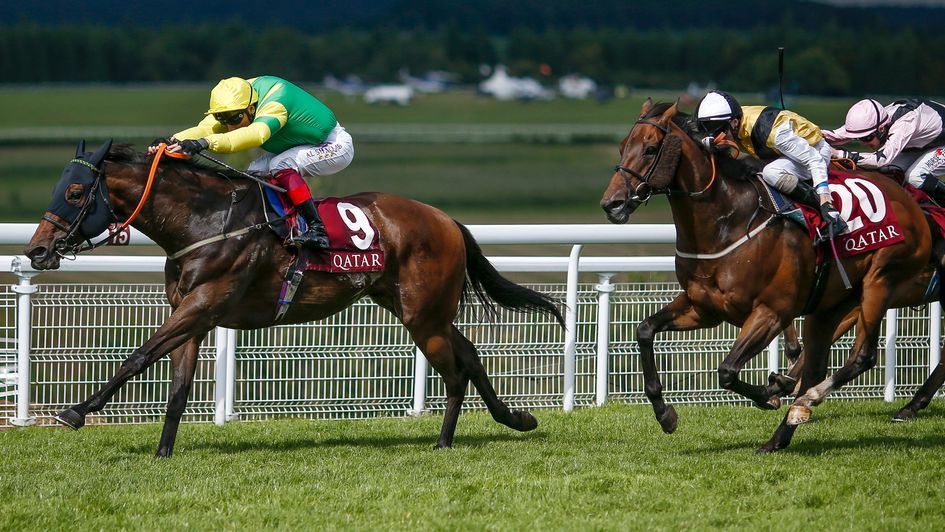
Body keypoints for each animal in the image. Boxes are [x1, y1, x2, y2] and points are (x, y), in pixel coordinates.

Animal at [25, 140, 565, 457]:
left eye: (75, 193)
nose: (36, 251)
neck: (203, 220)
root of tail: (447, 219)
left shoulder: (203, 304)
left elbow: (137, 357)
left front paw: (76, 411)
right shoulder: (191, 313)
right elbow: (177, 388)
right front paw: (163, 454)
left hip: (422, 315)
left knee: (454, 373)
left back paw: (444, 441)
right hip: (413, 308)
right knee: (469, 355)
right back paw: (516, 418)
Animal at [599, 100, 937, 452]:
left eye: (650, 149)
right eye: (622, 147)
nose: (612, 204)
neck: (727, 223)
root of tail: (910, 202)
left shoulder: (771, 312)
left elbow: (727, 371)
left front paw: (769, 393)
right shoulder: (703, 308)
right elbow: (644, 330)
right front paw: (665, 413)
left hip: (880, 281)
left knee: (862, 356)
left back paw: (807, 403)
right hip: (831, 305)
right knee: (817, 364)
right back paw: (782, 432)